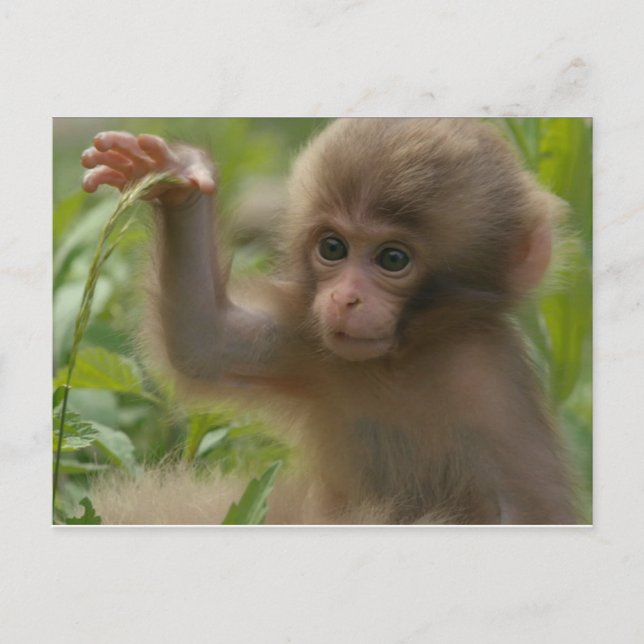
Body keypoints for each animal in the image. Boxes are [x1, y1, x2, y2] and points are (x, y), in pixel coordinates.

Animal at [80, 118, 578, 525]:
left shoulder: (490, 389)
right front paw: (175, 176)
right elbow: (203, 343)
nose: (344, 299)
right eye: (333, 248)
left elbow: (530, 511)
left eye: (393, 258)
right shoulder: (311, 339)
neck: (401, 362)